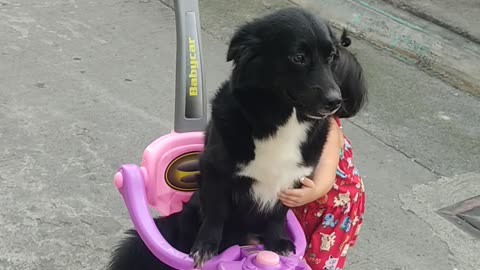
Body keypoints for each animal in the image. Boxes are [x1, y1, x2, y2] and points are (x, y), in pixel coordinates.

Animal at [107, 6, 366, 270]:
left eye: (331, 57)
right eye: (298, 57)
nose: (335, 101)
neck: (282, 120)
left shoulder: (293, 181)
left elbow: (278, 214)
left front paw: (278, 242)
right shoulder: (216, 172)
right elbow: (215, 214)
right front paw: (205, 248)